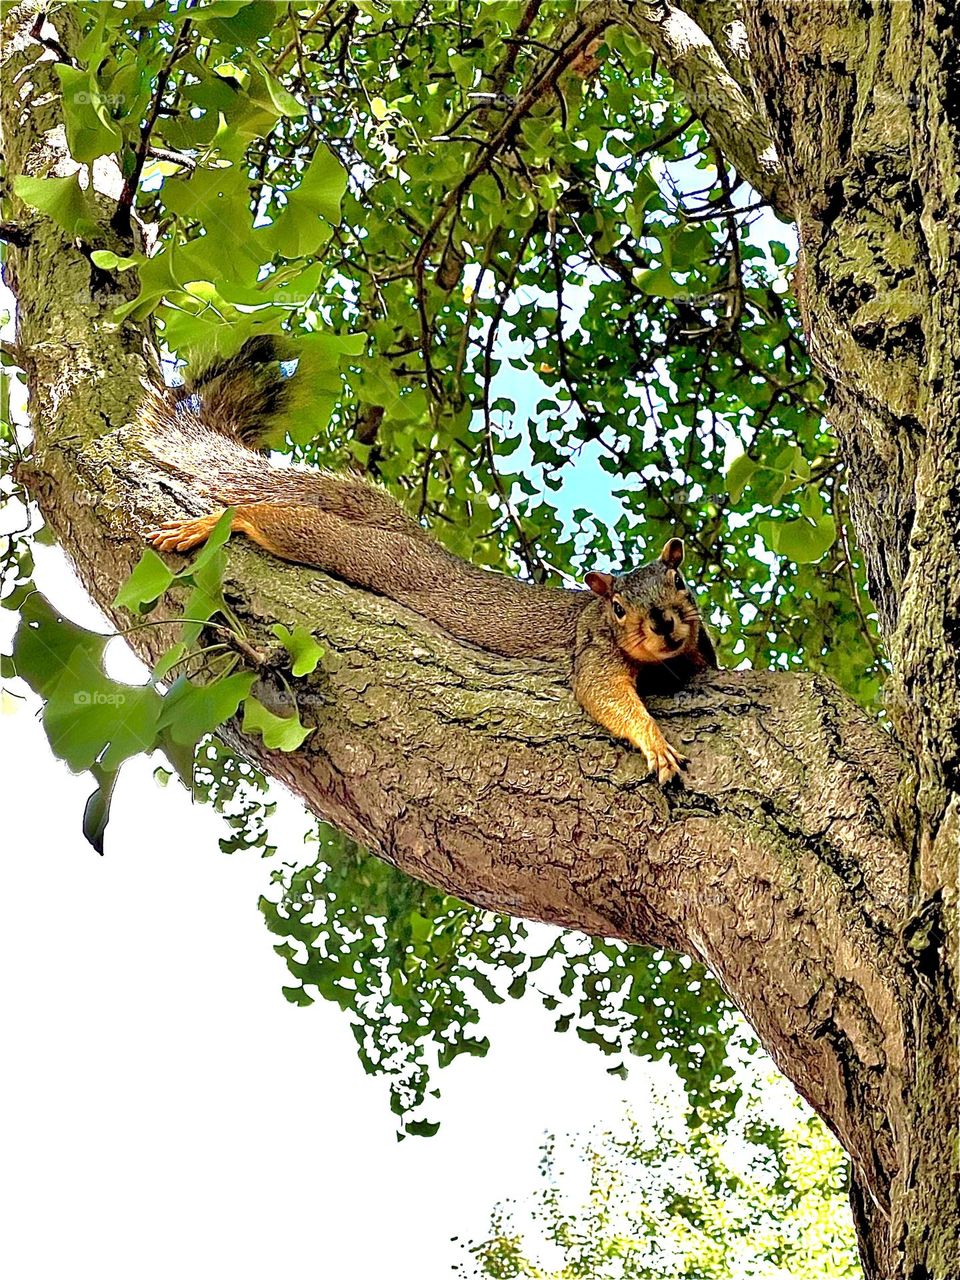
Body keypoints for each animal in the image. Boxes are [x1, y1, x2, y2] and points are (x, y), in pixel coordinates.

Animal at [142, 337, 718, 784]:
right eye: (617, 609)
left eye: (680, 581)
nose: (662, 623)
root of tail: (407, 533)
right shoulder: (591, 648)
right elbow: (606, 697)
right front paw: (654, 741)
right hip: (366, 553)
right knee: (291, 526)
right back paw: (222, 522)